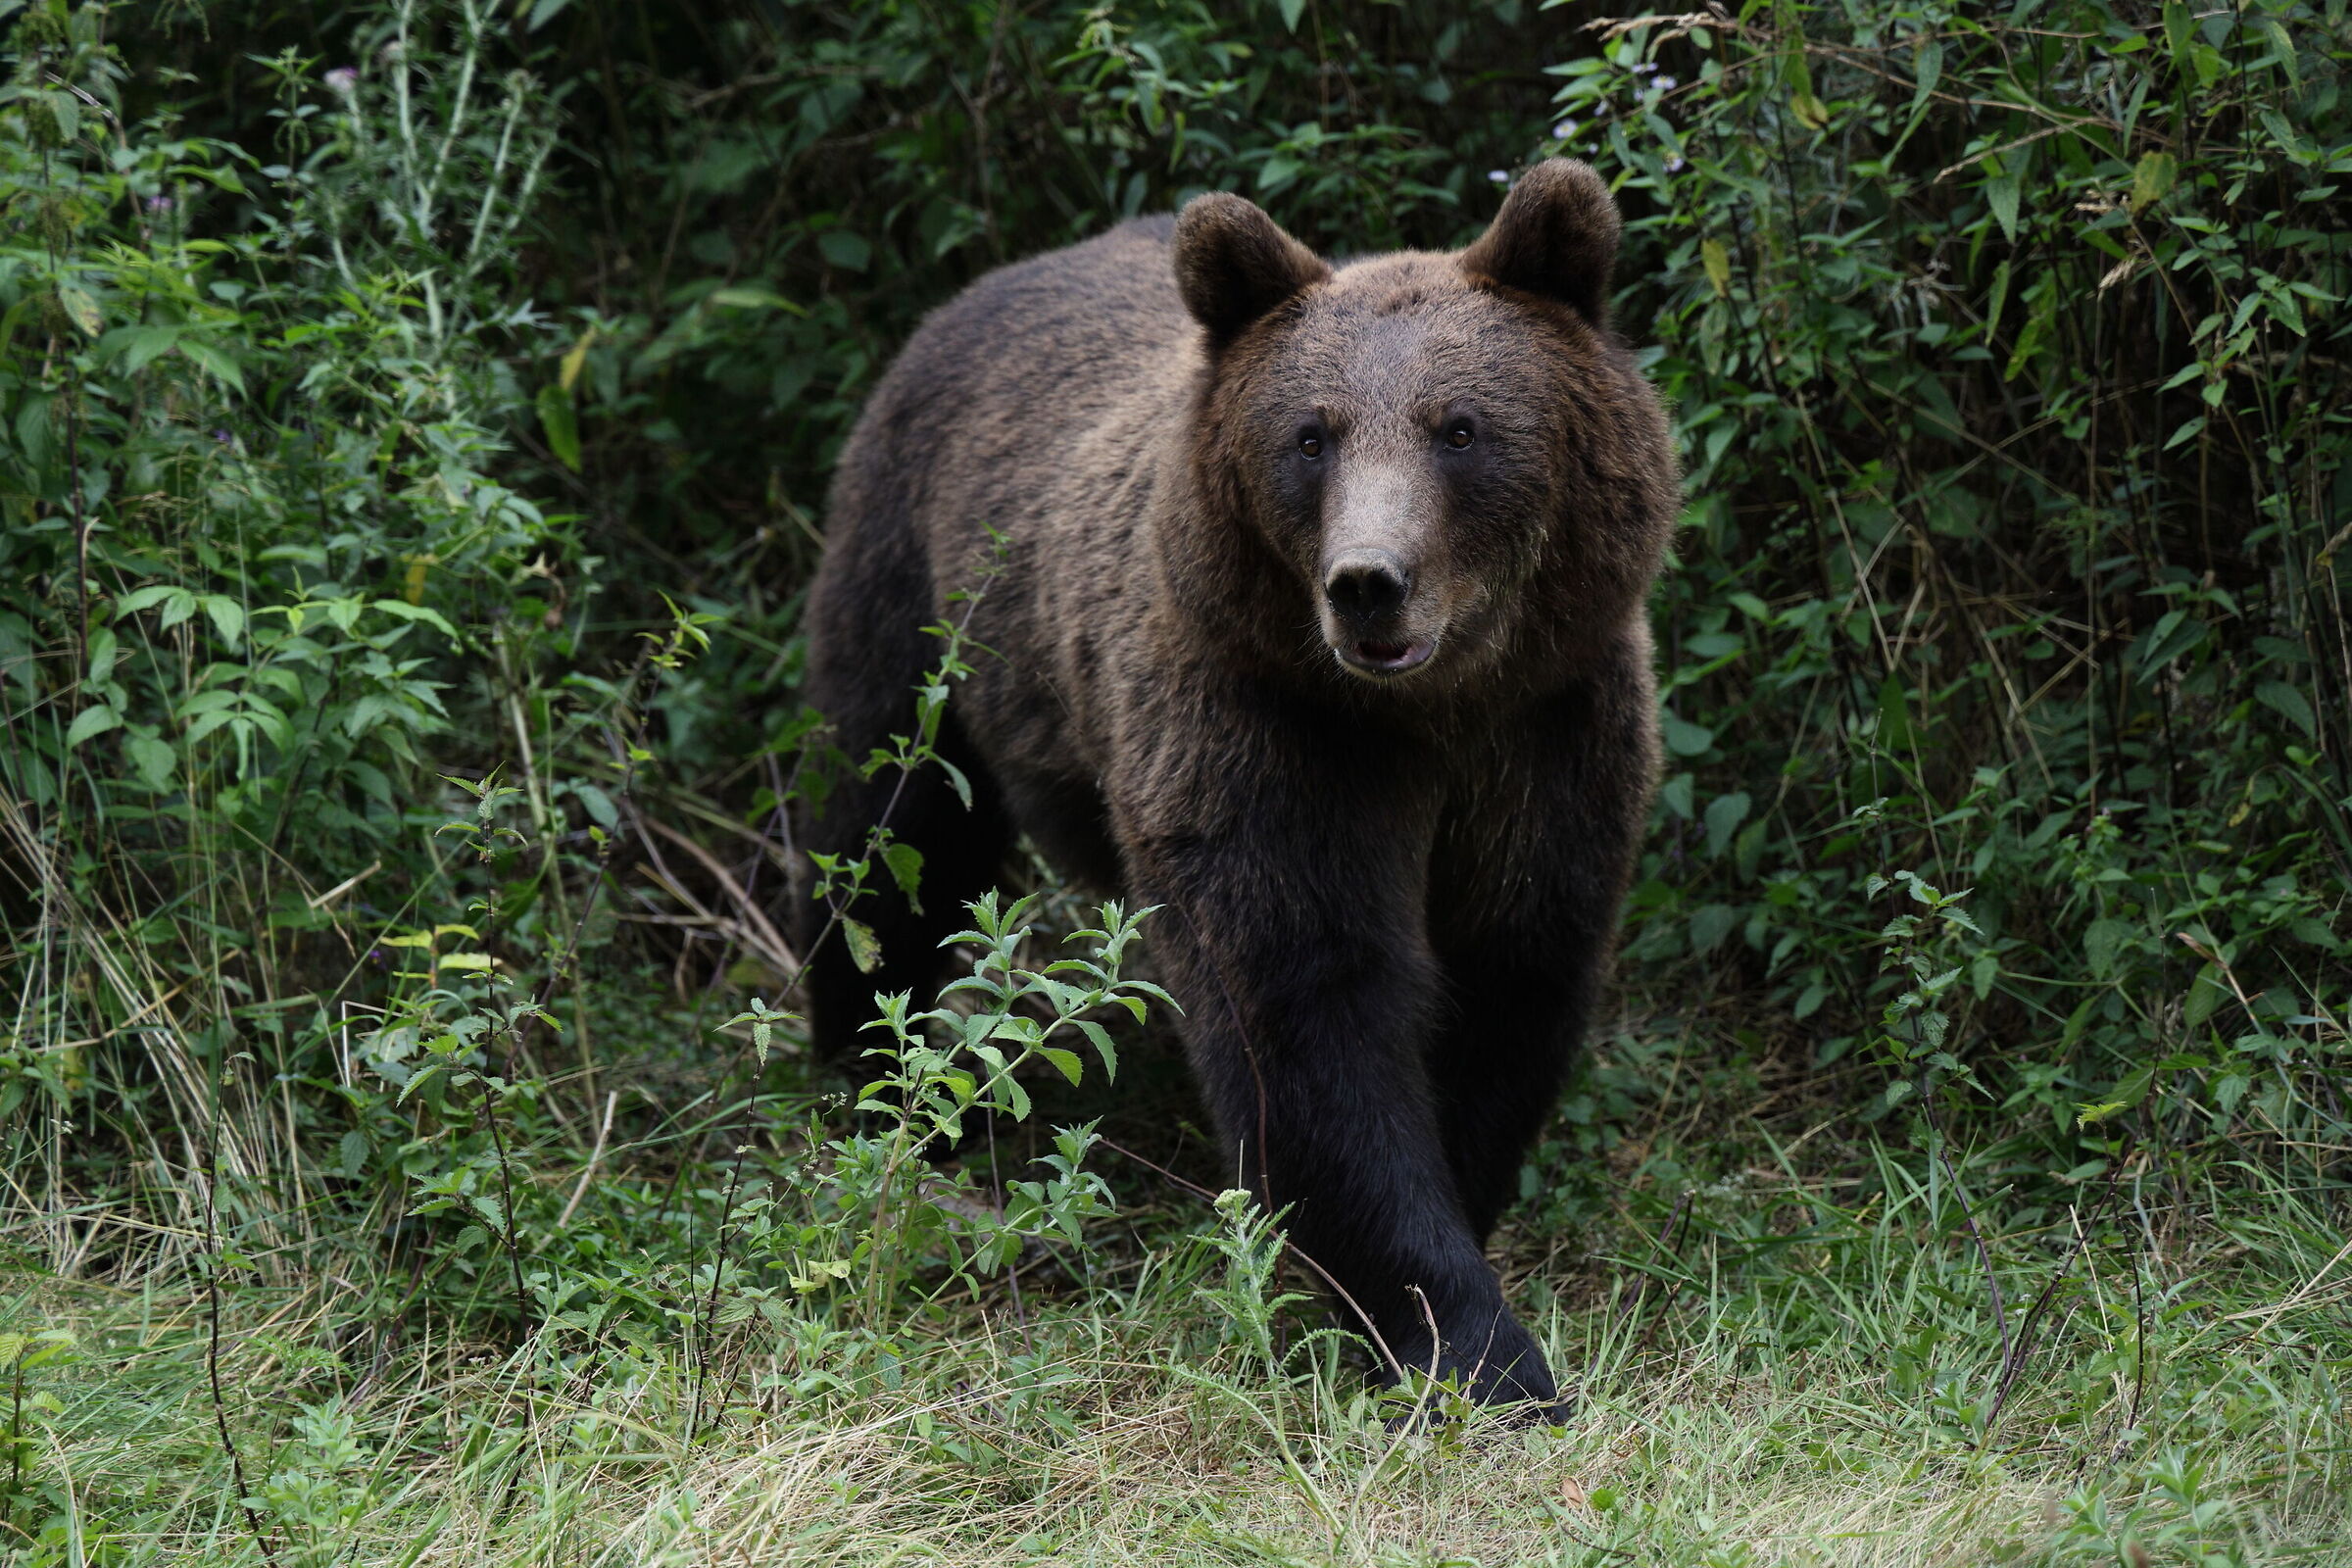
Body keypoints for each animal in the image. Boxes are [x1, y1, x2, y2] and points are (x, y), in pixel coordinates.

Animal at [795, 159, 1677, 1411]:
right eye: (1311, 434)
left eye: (1460, 427)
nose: (1368, 583)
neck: (1428, 715)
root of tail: (994, 281)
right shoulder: (1267, 731)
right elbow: (1304, 1007)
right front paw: (1471, 1346)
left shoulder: (1548, 736)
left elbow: (1512, 970)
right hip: (918, 601)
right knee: (888, 835)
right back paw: (874, 1082)